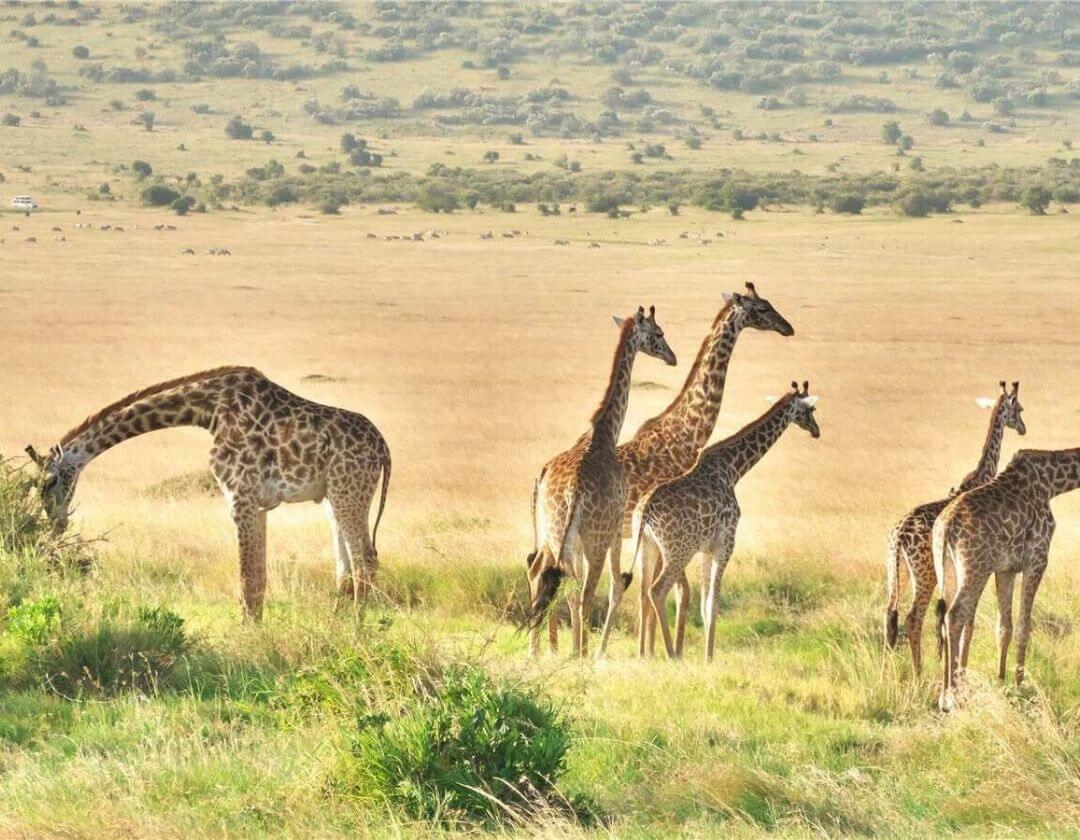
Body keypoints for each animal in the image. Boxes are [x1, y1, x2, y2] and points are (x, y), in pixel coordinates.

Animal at [25, 366, 390, 620]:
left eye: (48, 482)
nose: (56, 525)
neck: (208, 412)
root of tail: (383, 448)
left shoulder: (241, 497)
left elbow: (248, 581)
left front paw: (250, 641)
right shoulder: (257, 504)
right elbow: (257, 578)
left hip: (348, 490)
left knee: (366, 560)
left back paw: (357, 628)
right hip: (333, 497)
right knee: (346, 566)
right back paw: (336, 624)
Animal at [526, 306, 677, 658]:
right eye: (659, 333)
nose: (672, 357)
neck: (604, 433)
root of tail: (572, 492)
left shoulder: (578, 539)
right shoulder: (614, 530)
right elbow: (614, 586)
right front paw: (589, 652)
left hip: (555, 533)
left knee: (546, 575)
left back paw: (536, 652)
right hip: (594, 537)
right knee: (584, 592)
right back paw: (581, 655)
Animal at [633, 382, 820, 661]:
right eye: (811, 409)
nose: (816, 430)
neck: (733, 469)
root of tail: (644, 512)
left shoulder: (705, 549)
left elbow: (703, 605)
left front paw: (705, 656)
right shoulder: (726, 542)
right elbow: (713, 603)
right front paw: (710, 659)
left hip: (648, 546)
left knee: (643, 591)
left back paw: (643, 656)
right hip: (678, 550)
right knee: (657, 590)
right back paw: (672, 655)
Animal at [884, 381, 1025, 674]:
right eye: (1019, 408)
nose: (1022, 428)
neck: (982, 475)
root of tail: (899, 537)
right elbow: (966, 622)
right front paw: (959, 668)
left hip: (896, 571)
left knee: (889, 615)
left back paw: (885, 673)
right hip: (925, 575)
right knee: (913, 619)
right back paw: (917, 674)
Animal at [933, 446, 1080, 712]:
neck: (1052, 482)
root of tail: (946, 526)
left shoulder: (1006, 569)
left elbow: (1004, 628)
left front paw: (1002, 683)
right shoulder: (1037, 560)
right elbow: (1023, 628)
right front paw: (1021, 686)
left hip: (947, 572)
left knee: (945, 618)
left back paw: (943, 694)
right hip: (974, 569)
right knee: (955, 615)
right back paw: (952, 696)